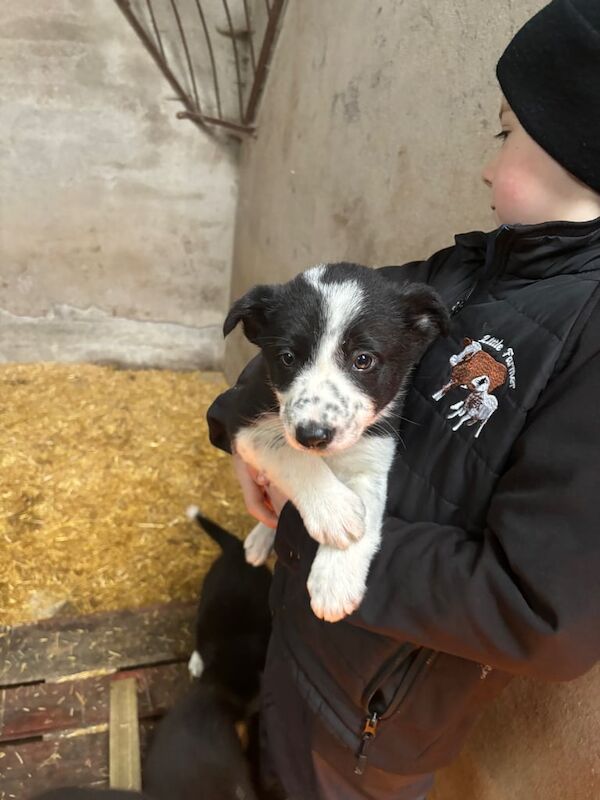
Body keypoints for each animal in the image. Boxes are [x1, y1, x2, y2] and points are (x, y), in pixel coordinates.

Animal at [223, 262, 448, 624]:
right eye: (287, 357)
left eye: (363, 359)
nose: (313, 435)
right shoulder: (243, 421)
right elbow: (290, 453)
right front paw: (337, 511)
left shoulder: (375, 451)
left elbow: (369, 504)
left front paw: (336, 581)